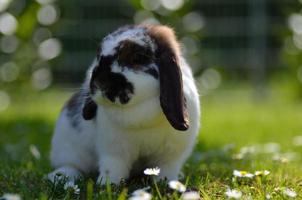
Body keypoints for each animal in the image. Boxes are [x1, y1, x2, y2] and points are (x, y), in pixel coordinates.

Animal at [48, 24, 201, 184]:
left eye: (138, 57)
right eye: (99, 56)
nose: (100, 83)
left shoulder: (171, 156)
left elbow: (167, 170)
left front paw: (168, 184)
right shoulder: (114, 151)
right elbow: (113, 167)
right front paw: (107, 184)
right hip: (68, 147)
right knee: (71, 164)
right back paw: (61, 176)